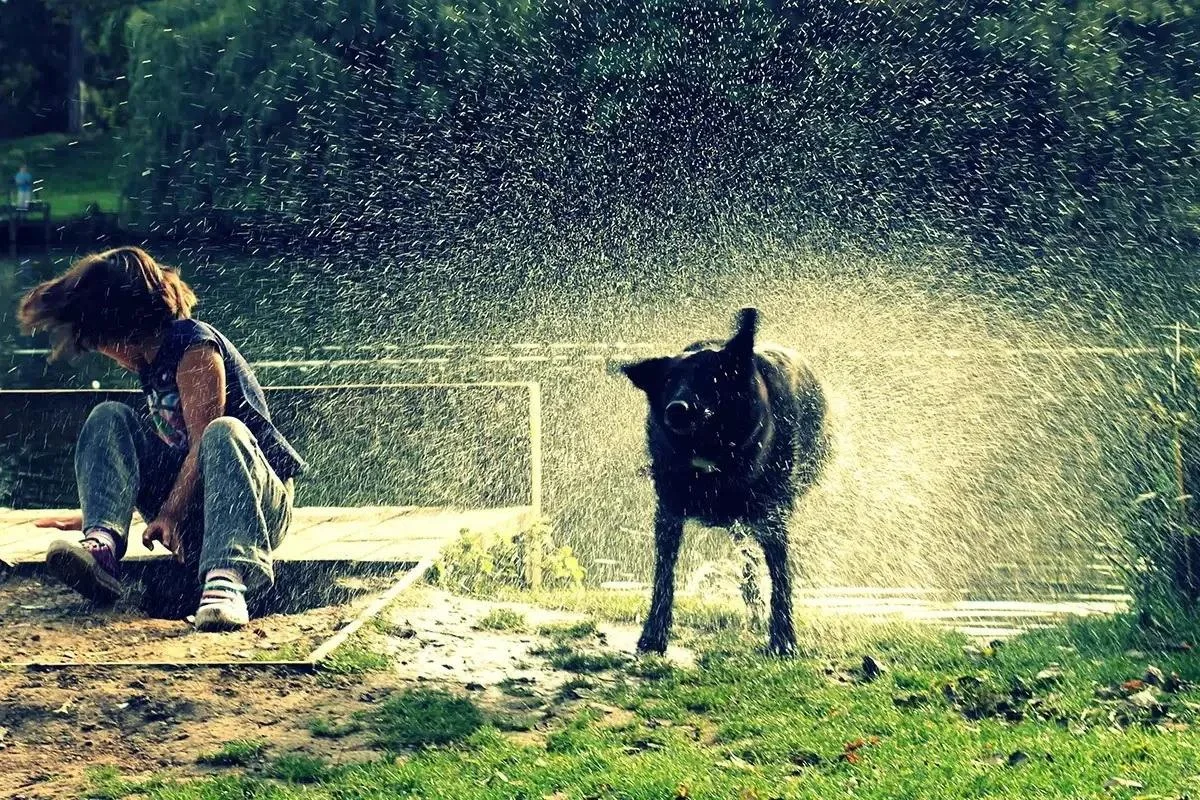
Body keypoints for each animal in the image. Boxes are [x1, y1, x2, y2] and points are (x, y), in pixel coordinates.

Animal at [619, 307, 825, 657]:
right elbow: (664, 577)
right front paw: (653, 635)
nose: (676, 410)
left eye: (710, 378)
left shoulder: (774, 515)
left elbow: (781, 578)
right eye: (669, 382)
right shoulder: (668, 512)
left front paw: (783, 639)